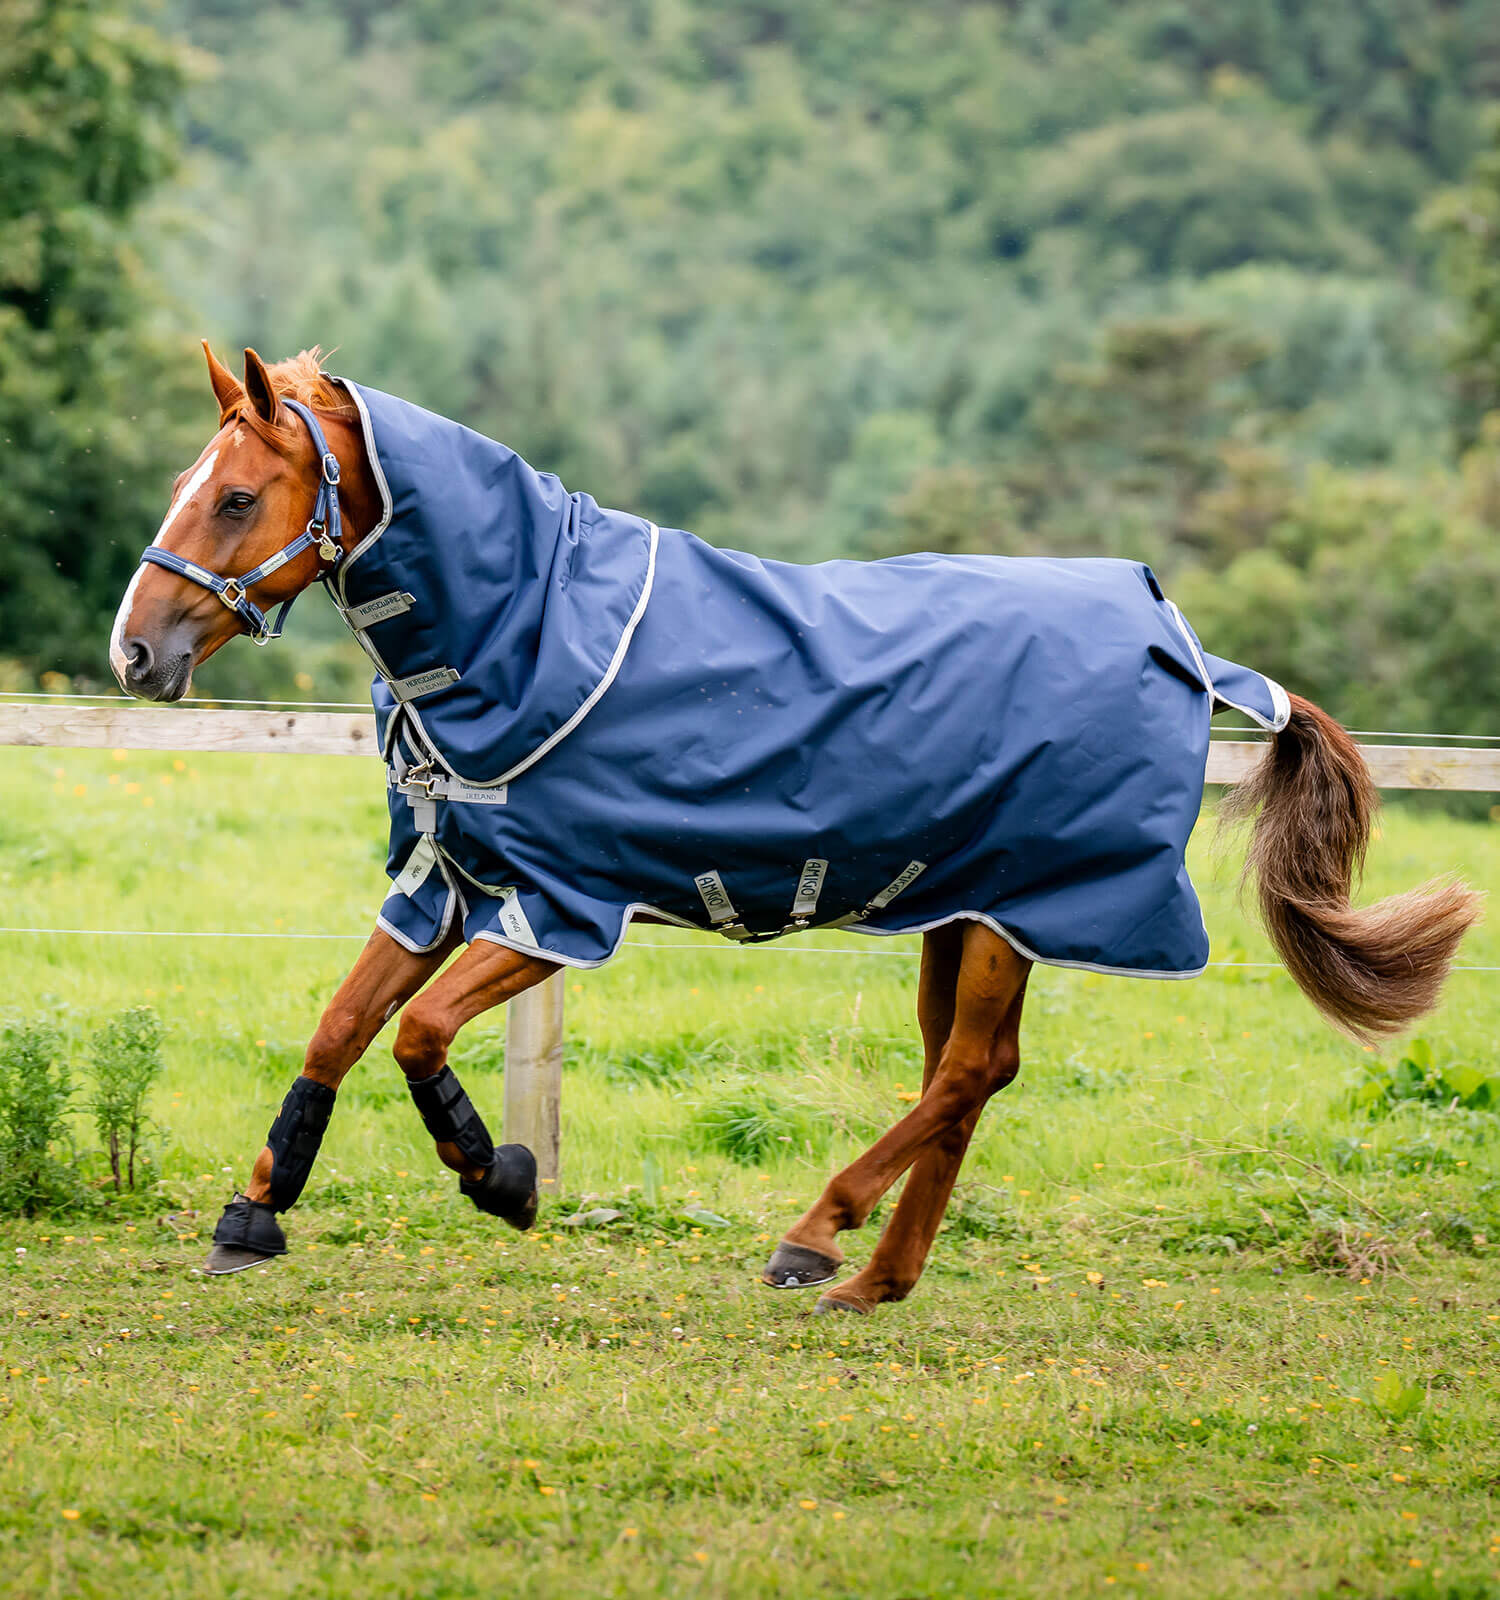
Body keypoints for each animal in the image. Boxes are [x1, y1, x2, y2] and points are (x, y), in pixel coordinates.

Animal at [109, 344, 1480, 1311]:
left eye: (236, 496)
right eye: (182, 486)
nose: (136, 651)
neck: (529, 631)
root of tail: (1182, 641)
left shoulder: (560, 906)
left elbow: (419, 1034)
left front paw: (499, 1177)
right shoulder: (449, 881)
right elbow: (342, 1026)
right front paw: (254, 1215)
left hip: (1019, 908)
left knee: (967, 1071)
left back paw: (817, 1237)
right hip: (967, 905)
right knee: (969, 1072)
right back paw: (877, 1279)